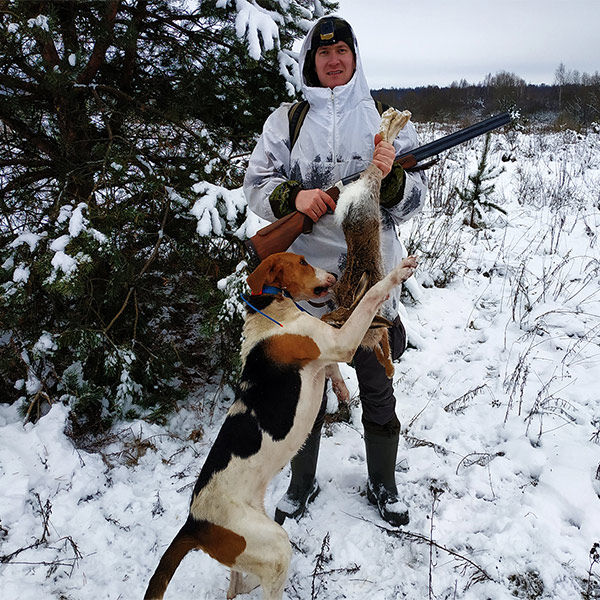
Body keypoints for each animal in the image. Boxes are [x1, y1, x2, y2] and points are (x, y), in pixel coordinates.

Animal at [145, 251, 418, 596]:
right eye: (301, 261)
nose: (332, 274)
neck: (272, 307)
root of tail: (194, 523)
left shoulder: (328, 350)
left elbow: (331, 369)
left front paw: (341, 389)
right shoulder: (339, 342)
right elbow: (370, 296)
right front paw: (398, 273)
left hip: (253, 548)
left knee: (236, 587)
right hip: (274, 547)